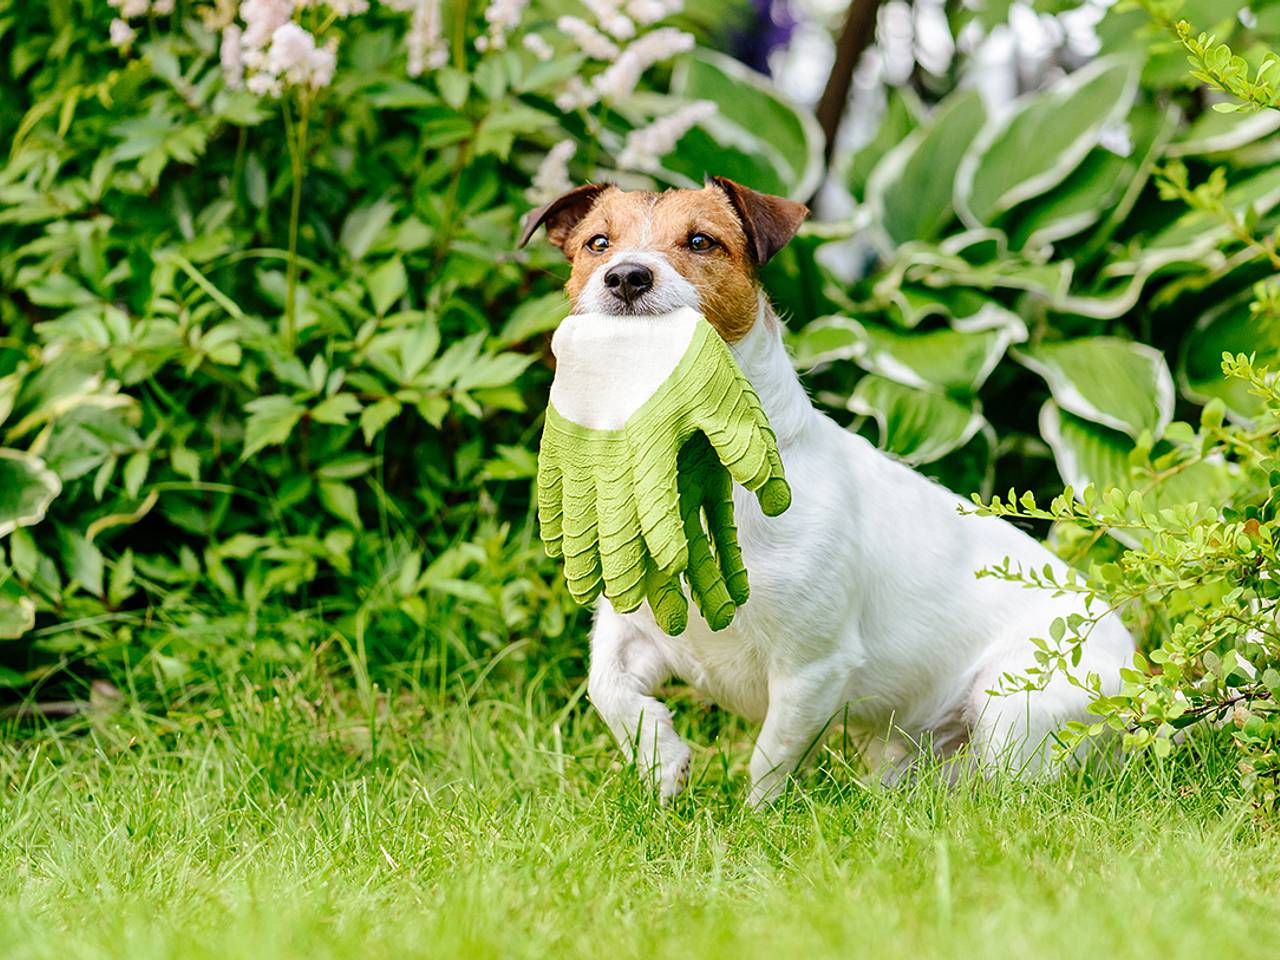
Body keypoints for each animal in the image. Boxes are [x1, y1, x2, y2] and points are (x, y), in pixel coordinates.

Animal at [517, 175, 1131, 803]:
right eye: (598, 244)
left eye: (700, 241)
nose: (626, 276)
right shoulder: (632, 629)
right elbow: (607, 688)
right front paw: (662, 762)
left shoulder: (813, 667)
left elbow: (771, 757)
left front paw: (753, 818)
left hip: (1014, 704)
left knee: (1011, 790)